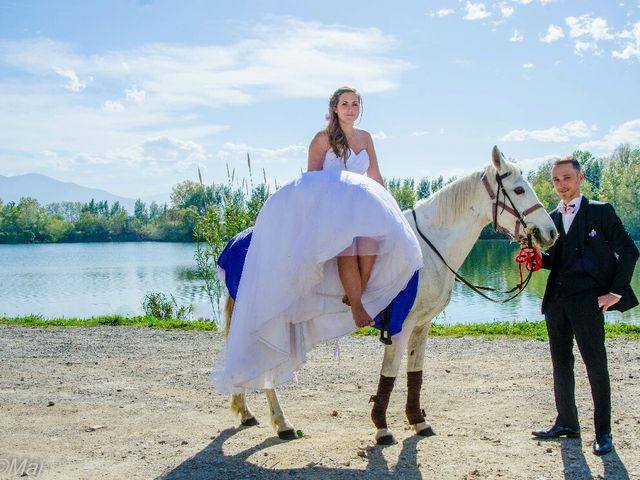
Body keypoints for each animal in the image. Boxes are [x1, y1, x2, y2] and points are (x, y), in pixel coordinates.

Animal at [222, 145, 556, 442]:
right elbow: (391, 372)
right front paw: (382, 427)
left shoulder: (421, 325)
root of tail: (240, 239)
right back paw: (282, 424)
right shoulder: (400, 324)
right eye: (519, 189)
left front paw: (418, 421)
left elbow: (414, 372)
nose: (550, 232)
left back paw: (248, 413)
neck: (428, 248)